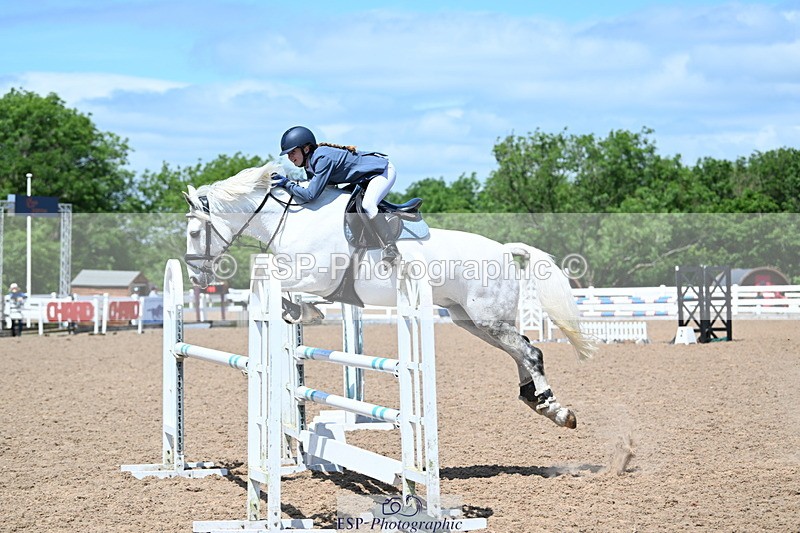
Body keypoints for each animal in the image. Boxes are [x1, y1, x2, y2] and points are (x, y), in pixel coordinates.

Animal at [183, 161, 596, 428]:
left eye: (193, 233)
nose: (195, 277)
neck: (290, 220)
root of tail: (504, 249)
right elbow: (287, 294)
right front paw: (300, 313)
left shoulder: (316, 276)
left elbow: (290, 290)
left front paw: (307, 313)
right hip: (469, 320)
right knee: (520, 351)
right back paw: (542, 405)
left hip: (487, 319)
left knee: (530, 351)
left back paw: (554, 407)